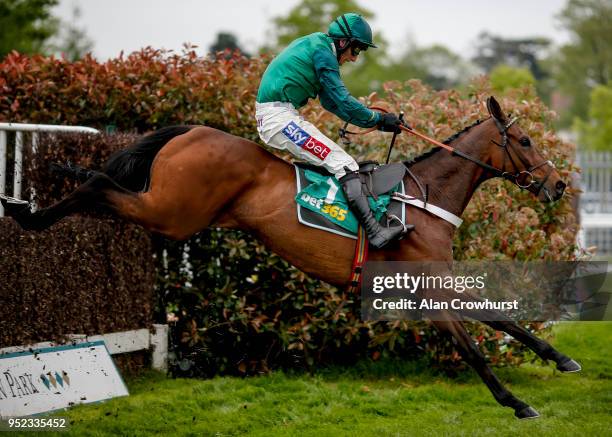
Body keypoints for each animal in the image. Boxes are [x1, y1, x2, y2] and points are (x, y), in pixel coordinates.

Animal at [2, 97, 580, 418]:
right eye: (525, 140)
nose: (557, 184)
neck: (425, 197)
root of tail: (191, 130)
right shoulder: (424, 289)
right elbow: (475, 348)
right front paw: (517, 403)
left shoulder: (430, 285)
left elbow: (503, 319)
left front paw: (560, 359)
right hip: (172, 212)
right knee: (100, 186)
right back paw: (32, 206)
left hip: (171, 211)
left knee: (101, 191)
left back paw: (28, 208)